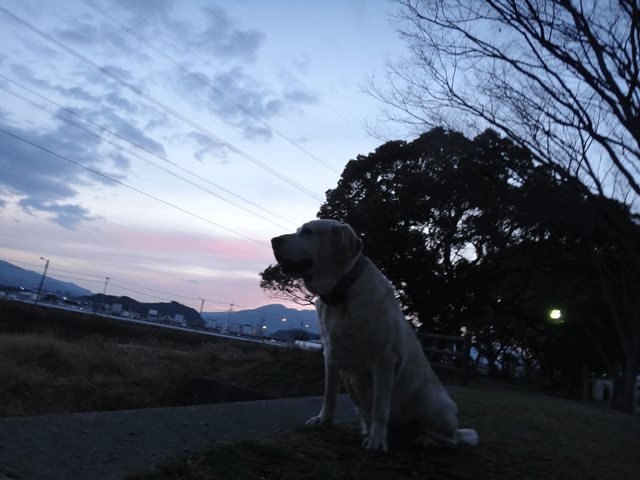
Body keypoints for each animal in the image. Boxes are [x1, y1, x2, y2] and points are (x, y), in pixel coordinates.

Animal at [270, 219, 476, 452]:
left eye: (307, 232)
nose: (273, 241)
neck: (341, 294)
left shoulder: (384, 360)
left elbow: (380, 406)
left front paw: (377, 439)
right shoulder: (331, 358)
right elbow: (329, 395)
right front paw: (323, 421)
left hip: (433, 401)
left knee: (452, 439)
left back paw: (424, 439)